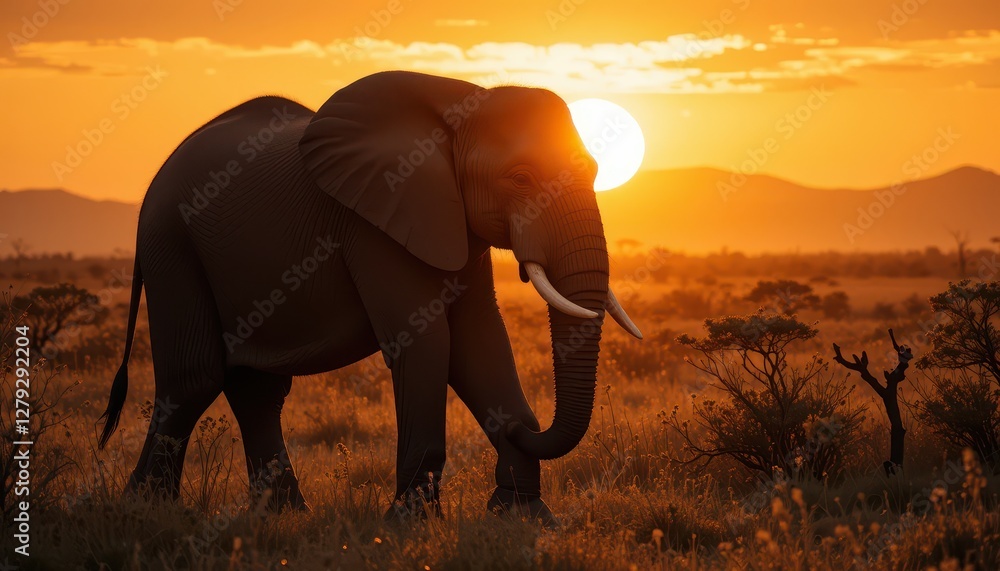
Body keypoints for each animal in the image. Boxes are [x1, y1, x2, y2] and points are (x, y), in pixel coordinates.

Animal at [97, 70, 642, 523]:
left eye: (597, 170)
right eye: (521, 178)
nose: (520, 429)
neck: (460, 104)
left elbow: (480, 341)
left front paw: (523, 518)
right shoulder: (374, 222)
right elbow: (427, 342)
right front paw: (410, 525)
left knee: (255, 388)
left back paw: (283, 515)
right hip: (171, 242)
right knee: (195, 377)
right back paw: (145, 511)